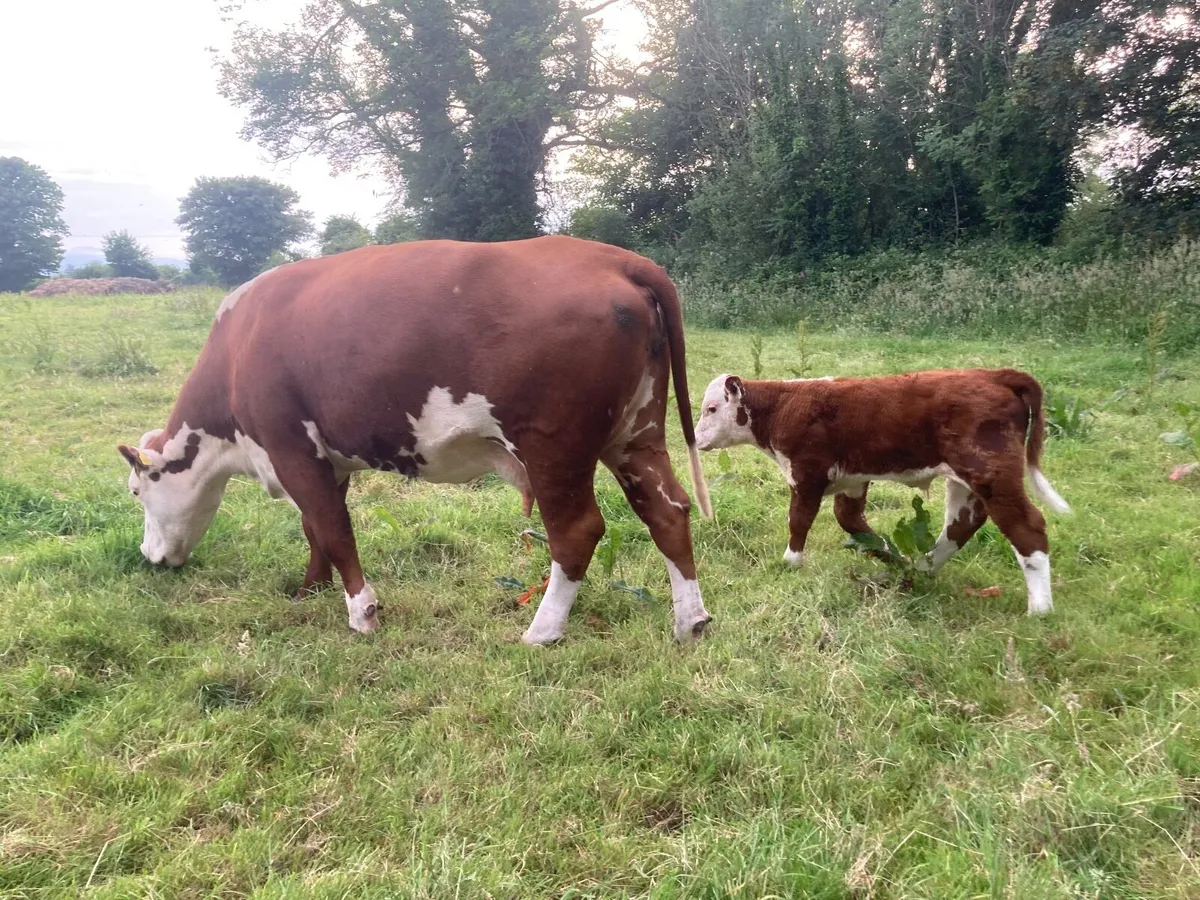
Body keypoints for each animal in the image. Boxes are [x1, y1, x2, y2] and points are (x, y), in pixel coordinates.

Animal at [117, 236, 713, 644]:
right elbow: (315, 530)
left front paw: (361, 612)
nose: (147, 556)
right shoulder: (327, 459)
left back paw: (541, 631)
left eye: (136, 492)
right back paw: (690, 620)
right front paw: (309, 591)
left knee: (576, 532)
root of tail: (611, 258)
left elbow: (333, 530)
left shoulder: (290, 449)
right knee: (667, 510)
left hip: (554, 447)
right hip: (635, 435)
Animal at [693, 368, 1071, 614]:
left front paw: (790, 562)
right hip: (966, 481)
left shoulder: (807, 474)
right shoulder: (852, 480)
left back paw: (1040, 610)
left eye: (711, 408)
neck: (782, 406)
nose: (694, 440)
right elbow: (851, 522)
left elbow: (799, 520)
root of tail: (994, 374)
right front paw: (891, 556)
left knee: (1027, 527)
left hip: (991, 472)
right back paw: (920, 570)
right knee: (961, 525)